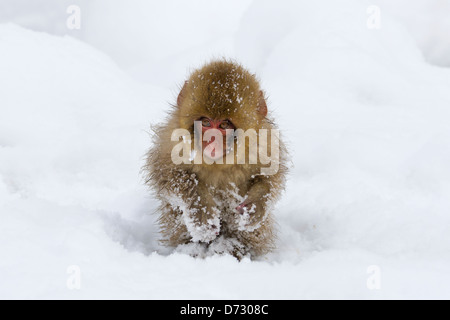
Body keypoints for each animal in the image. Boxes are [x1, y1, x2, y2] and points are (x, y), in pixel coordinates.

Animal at [146, 60, 290, 260]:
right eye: (206, 122)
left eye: (223, 125)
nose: (211, 140)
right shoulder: (171, 139)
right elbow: (167, 175)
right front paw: (202, 213)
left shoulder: (264, 143)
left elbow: (270, 178)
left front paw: (255, 207)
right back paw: (192, 250)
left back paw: (231, 249)